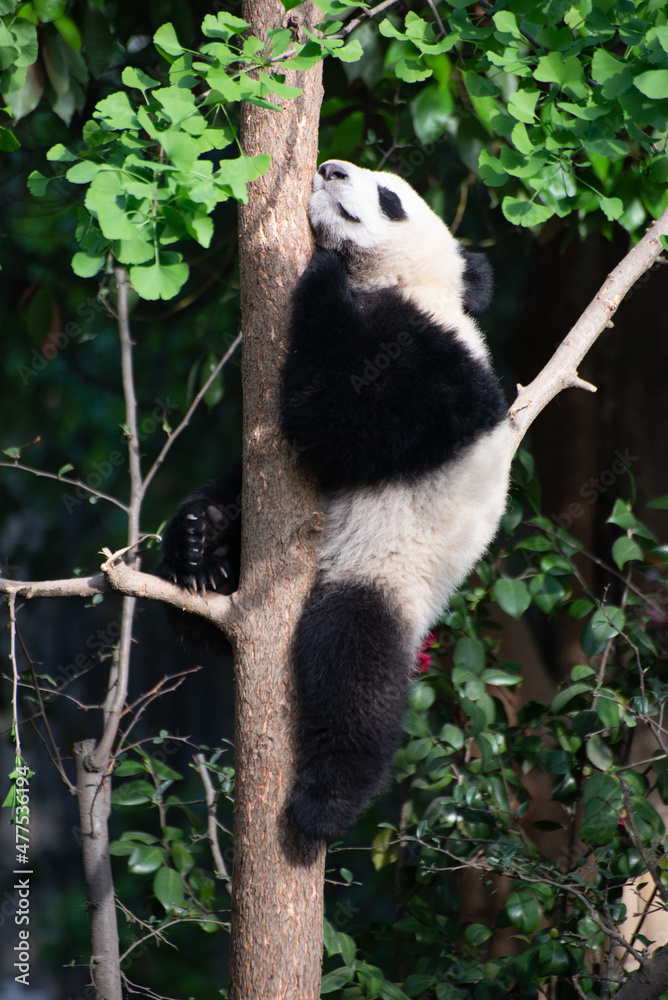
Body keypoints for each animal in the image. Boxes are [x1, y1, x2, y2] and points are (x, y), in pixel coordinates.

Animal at [159, 160, 512, 842]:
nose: (331, 169)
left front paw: (322, 272)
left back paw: (325, 803)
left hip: (386, 573)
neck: (402, 284)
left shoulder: (437, 362)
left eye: (390, 196)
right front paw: (200, 534)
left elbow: (338, 421)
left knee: (352, 670)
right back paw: (199, 559)